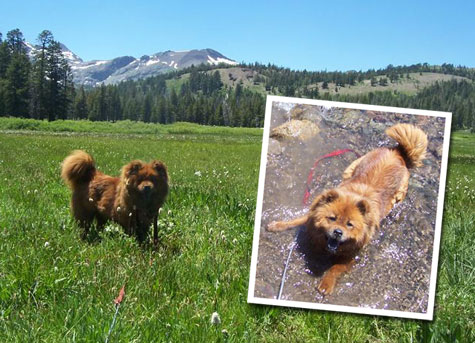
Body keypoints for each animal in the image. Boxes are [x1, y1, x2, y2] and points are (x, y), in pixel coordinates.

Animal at [270, 123, 430, 296]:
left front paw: (326, 284)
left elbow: (334, 268)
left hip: (398, 195)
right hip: (352, 167)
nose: (338, 232)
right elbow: (296, 220)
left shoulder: (352, 255)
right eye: (332, 218)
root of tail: (398, 152)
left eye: (349, 224)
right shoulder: (312, 216)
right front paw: (276, 225)